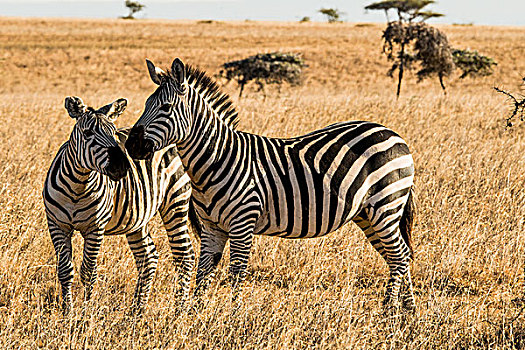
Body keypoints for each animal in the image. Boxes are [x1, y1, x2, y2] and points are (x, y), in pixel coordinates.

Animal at [42, 96, 199, 314]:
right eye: (87, 133)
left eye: (114, 133)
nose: (122, 167)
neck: (77, 186)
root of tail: (176, 139)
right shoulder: (57, 225)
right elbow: (65, 270)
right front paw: (67, 312)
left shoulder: (95, 228)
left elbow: (89, 272)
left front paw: (85, 313)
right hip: (137, 218)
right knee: (148, 257)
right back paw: (136, 311)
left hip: (176, 200)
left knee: (184, 255)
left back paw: (179, 310)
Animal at [125, 58, 416, 308]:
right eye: (145, 104)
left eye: (165, 108)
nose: (130, 145)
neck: (218, 160)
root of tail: (393, 134)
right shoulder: (211, 228)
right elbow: (203, 273)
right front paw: (192, 317)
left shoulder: (243, 223)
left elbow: (236, 273)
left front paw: (232, 318)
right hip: (368, 214)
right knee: (398, 255)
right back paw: (407, 311)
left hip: (386, 205)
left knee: (400, 255)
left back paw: (389, 310)